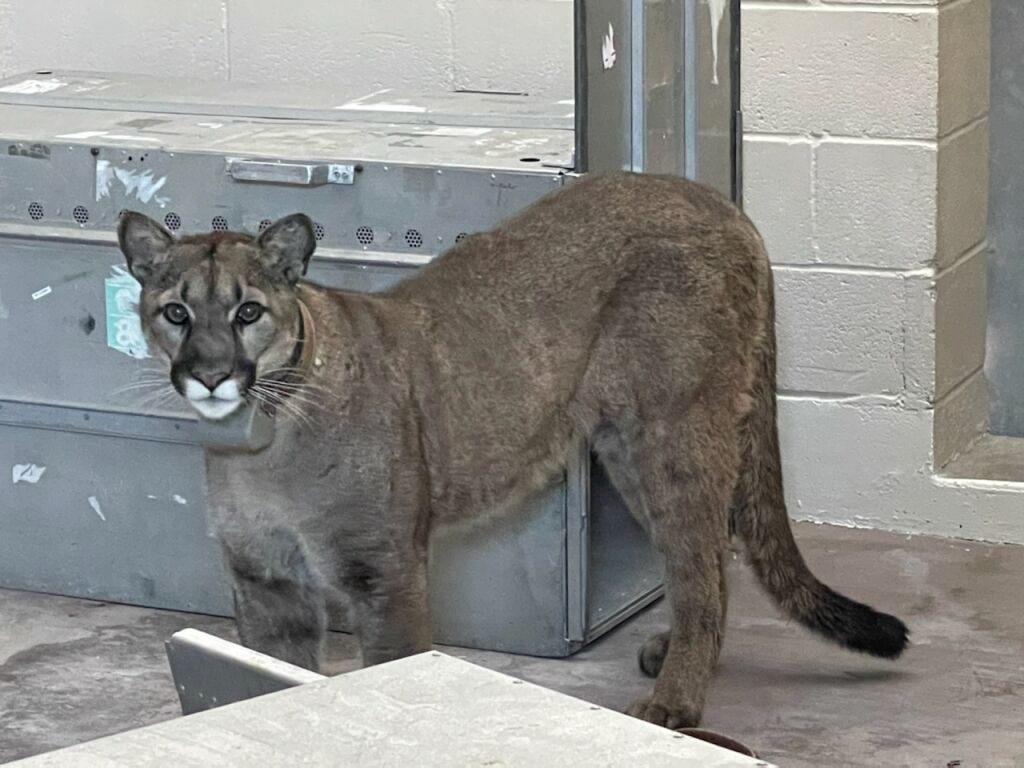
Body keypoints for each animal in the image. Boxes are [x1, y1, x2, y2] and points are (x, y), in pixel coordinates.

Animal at [116, 173, 909, 729]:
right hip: (628, 450)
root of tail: (716, 200)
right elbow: (269, 673)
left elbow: (393, 668)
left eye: (248, 311)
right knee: (709, 557)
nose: (210, 373)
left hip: (675, 431)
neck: (263, 440)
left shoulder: (383, 572)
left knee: (702, 565)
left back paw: (675, 699)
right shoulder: (266, 582)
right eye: (176, 312)